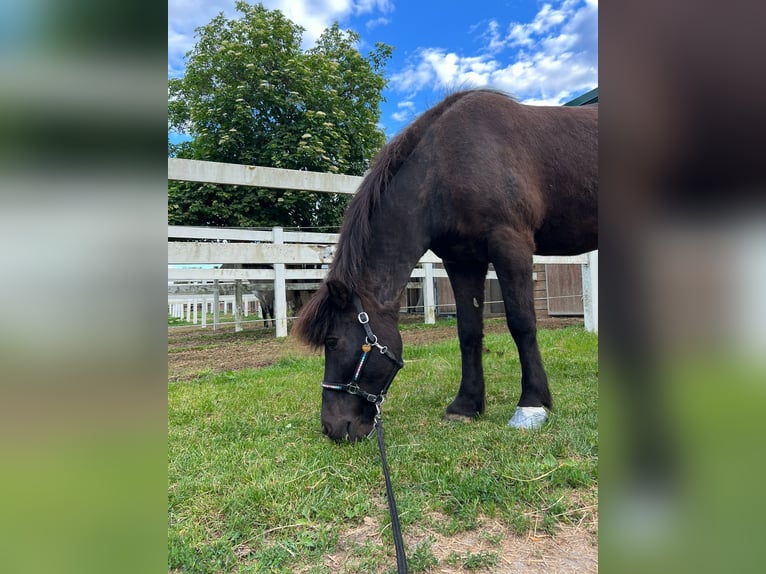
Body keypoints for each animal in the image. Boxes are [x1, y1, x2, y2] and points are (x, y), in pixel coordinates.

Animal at [293, 89, 597, 441]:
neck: (449, 165)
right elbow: (468, 332)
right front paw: (465, 406)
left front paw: (532, 404)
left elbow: (522, 324)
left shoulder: (511, 245)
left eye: (332, 341)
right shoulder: (462, 260)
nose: (333, 428)